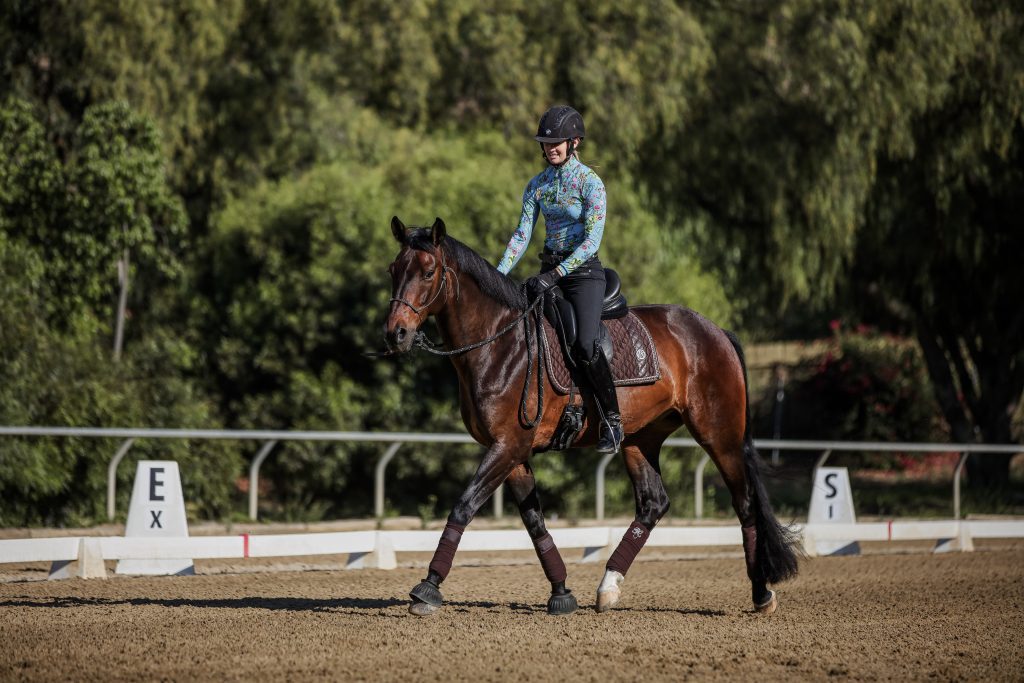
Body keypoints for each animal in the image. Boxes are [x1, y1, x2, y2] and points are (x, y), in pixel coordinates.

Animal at [382, 216, 798, 617]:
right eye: (393, 268)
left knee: (745, 504)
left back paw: (761, 593)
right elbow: (535, 523)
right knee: (653, 504)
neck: (499, 343)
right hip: (641, 439)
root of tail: (716, 331)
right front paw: (562, 593)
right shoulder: (511, 451)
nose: (395, 334)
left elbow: (464, 507)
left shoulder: (507, 446)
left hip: (719, 435)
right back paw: (608, 587)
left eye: (428, 271)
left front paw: (428, 587)